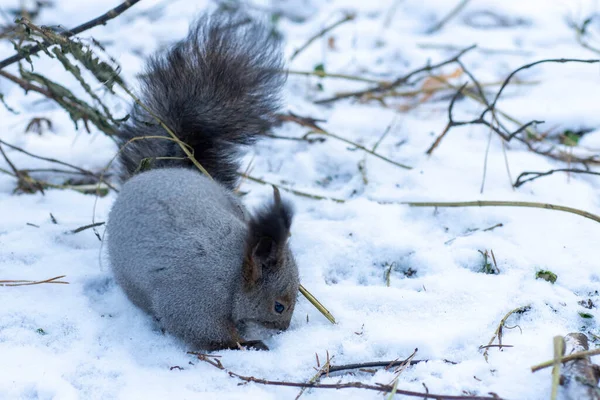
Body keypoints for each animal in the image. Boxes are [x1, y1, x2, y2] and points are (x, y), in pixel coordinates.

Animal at [106, 11, 298, 350]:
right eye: (279, 306)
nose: (285, 328)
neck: (234, 275)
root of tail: (155, 171)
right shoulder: (193, 303)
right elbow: (212, 335)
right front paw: (248, 343)